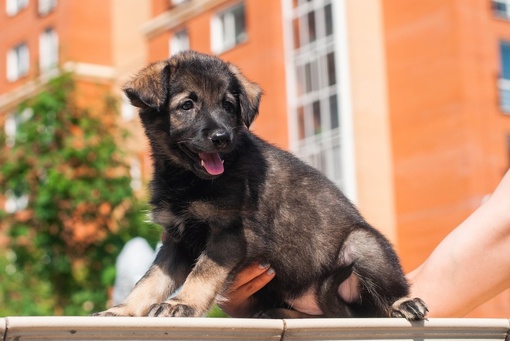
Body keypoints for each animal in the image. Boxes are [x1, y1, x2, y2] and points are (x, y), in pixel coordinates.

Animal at [94, 50, 426, 318]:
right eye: (187, 105)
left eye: (228, 106)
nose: (222, 137)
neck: (188, 179)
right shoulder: (177, 240)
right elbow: (150, 280)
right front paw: (122, 310)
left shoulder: (228, 233)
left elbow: (202, 273)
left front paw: (183, 303)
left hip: (363, 244)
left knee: (382, 300)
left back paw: (402, 303)